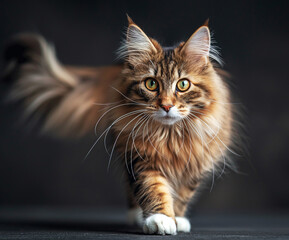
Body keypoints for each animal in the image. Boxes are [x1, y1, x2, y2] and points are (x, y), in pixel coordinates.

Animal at [3, 16, 235, 234]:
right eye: (151, 84)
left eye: (183, 85)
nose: (167, 106)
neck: (170, 135)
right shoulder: (139, 158)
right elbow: (153, 188)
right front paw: (160, 219)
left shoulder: (195, 164)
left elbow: (183, 195)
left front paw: (177, 218)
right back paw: (137, 215)